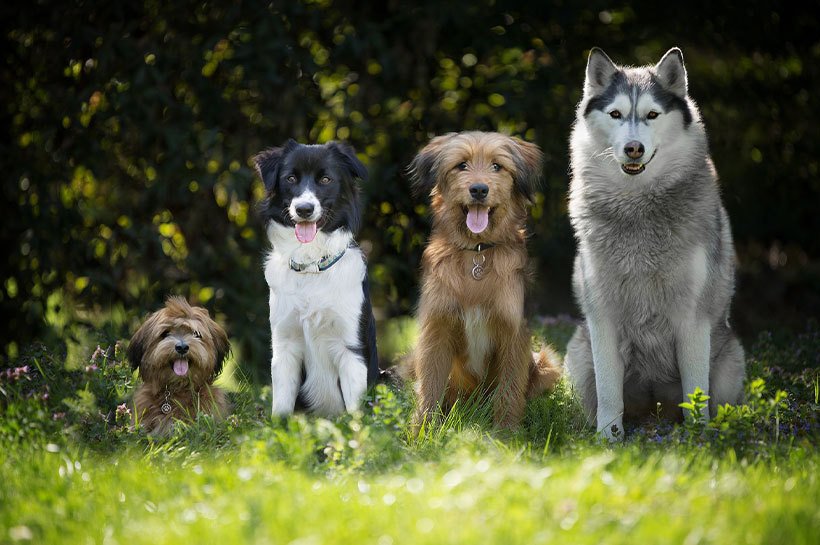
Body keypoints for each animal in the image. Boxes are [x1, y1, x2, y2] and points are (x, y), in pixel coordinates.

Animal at [406, 131, 560, 430]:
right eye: (462, 165)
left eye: (497, 166)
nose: (479, 189)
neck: (476, 253)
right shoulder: (436, 329)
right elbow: (430, 387)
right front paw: (421, 431)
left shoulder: (514, 332)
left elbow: (509, 390)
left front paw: (506, 432)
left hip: (546, 363)